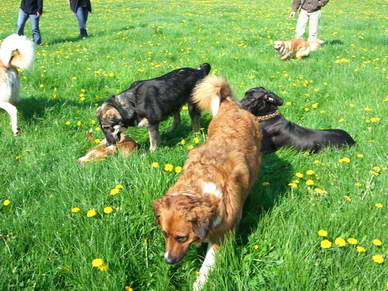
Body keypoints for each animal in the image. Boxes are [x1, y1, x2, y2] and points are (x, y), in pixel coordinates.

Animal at [153, 76, 262, 291]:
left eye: (181, 237)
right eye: (164, 234)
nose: (168, 261)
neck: (201, 190)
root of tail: (231, 106)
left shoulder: (222, 234)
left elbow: (207, 267)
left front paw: (198, 283)